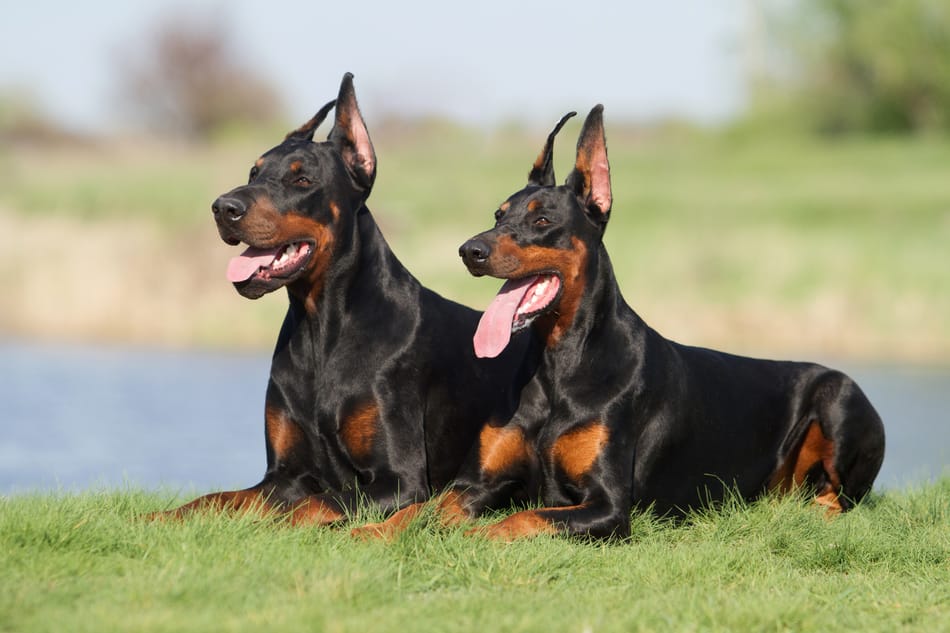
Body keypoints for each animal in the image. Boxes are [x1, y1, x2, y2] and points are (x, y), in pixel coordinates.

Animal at [152, 74, 532, 524]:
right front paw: (151, 518)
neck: (321, 328)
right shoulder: (282, 475)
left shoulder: (399, 482)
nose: (223, 207)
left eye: (301, 180)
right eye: (253, 172)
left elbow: (306, 508)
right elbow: (212, 499)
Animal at [354, 106, 888, 540]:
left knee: (839, 500)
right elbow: (420, 508)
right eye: (498, 214)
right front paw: (370, 532)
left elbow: (516, 519)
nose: (470, 250)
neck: (558, 363)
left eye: (542, 220)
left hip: (839, 395)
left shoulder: (608, 507)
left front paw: (467, 536)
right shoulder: (477, 482)